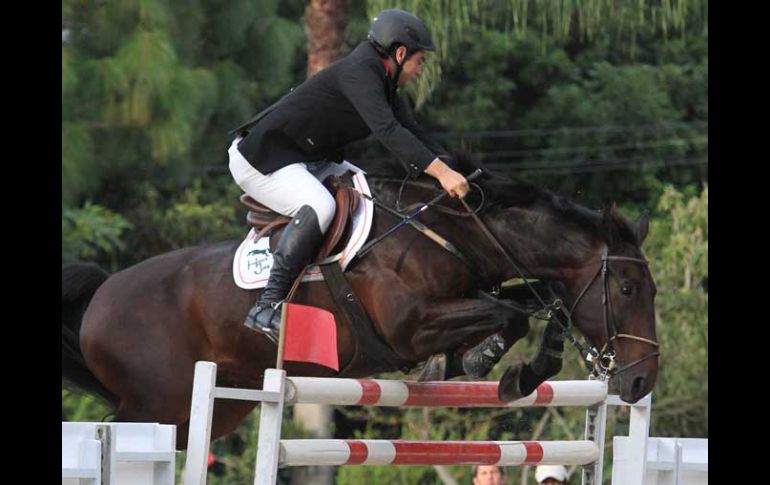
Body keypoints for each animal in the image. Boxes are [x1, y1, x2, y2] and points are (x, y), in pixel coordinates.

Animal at [63, 164, 656, 450]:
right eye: (628, 289)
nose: (642, 381)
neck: (456, 234)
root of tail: (102, 294)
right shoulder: (407, 329)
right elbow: (508, 315)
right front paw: (492, 365)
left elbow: (540, 300)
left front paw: (511, 364)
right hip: (153, 405)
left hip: (214, 408)